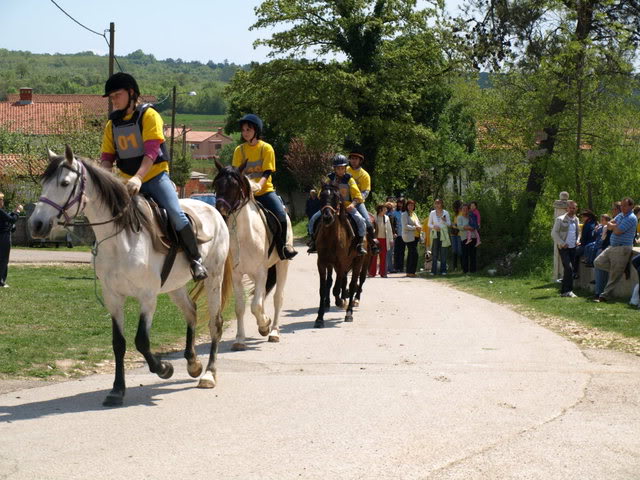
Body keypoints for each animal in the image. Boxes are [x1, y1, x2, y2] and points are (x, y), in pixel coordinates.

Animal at [28, 145, 232, 404]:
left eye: (64, 183)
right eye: (44, 182)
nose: (36, 224)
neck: (121, 239)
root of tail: (213, 210)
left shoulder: (147, 298)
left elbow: (141, 341)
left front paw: (164, 368)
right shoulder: (113, 298)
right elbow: (119, 343)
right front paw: (117, 390)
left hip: (214, 278)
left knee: (216, 322)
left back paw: (208, 374)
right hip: (175, 286)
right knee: (191, 312)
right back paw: (193, 364)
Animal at [211, 159, 292, 350]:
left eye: (234, 185)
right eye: (217, 184)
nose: (220, 210)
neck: (245, 235)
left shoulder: (261, 271)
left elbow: (255, 305)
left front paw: (264, 325)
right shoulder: (237, 274)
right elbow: (242, 306)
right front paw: (240, 340)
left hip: (282, 265)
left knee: (277, 298)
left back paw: (274, 331)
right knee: (261, 296)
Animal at [314, 183, 364, 326]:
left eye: (336, 197)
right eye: (321, 196)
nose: (327, 217)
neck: (331, 238)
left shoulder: (340, 263)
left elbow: (336, 288)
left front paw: (340, 302)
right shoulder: (322, 263)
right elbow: (323, 288)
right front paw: (319, 318)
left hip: (358, 262)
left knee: (353, 285)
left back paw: (349, 312)